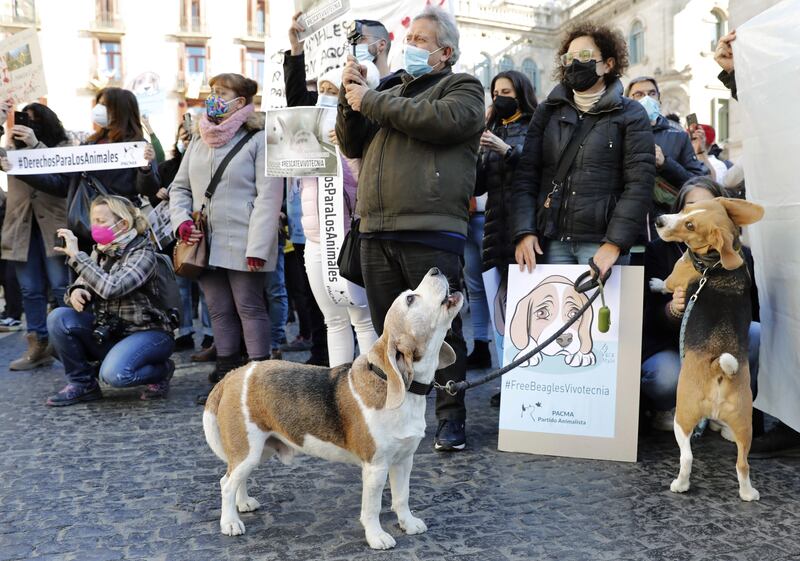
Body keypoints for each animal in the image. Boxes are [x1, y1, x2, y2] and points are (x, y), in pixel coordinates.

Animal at [202, 266, 462, 548]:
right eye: (410, 299)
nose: (435, 270)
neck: (402, 387)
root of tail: (234, 374)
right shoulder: (376, 467)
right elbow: (372, 508)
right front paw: (376, 536)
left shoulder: (404, 460)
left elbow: (402, 498)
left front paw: (408, 524)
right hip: (248, 450)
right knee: (226, 483)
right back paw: (230, 522)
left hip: (259, 450)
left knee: (236, 478)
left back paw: (243, 503)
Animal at [652, 196, 764, 498]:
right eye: (686, 209)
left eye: (690, 225)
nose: (659, 221)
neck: (714, 263)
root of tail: (720, 368)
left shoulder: (676, 278)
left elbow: (666, 284)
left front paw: (654, 283)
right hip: (744, 422)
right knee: (743, 463)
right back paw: (748, 493)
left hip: (683, 415)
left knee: (687, 456)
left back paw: (680, 485)